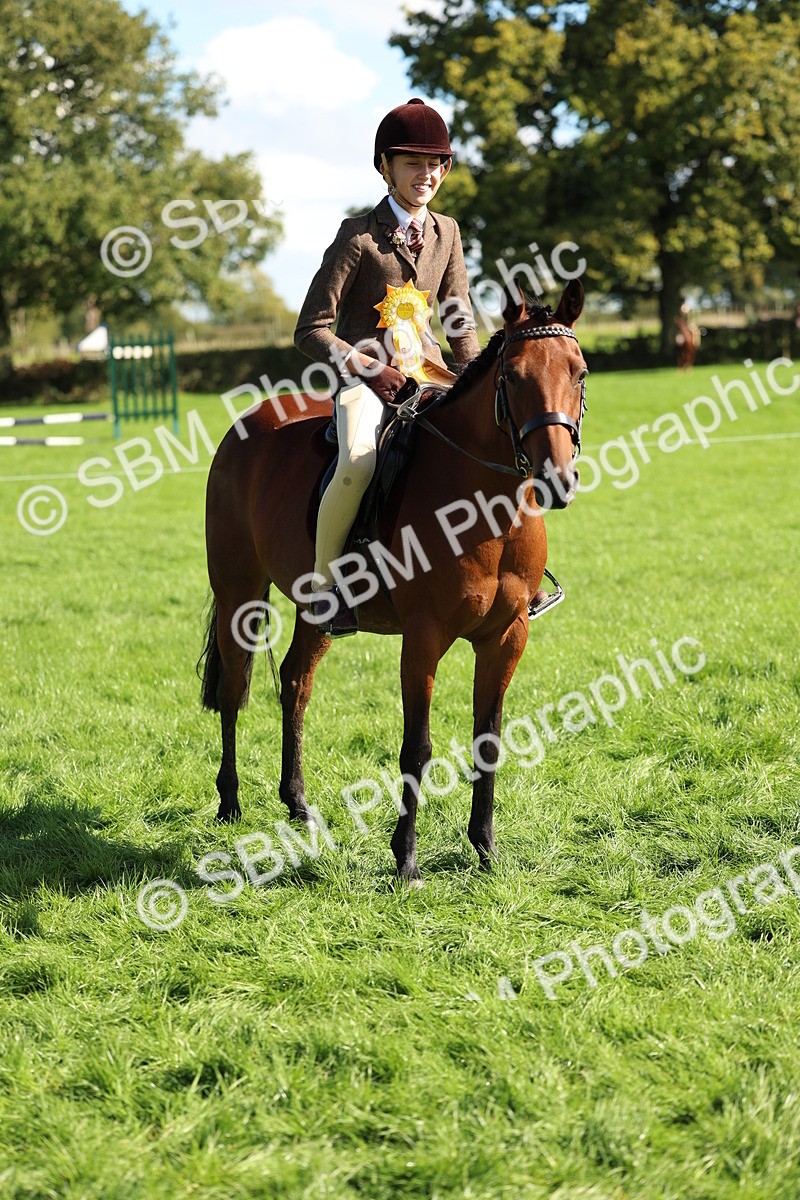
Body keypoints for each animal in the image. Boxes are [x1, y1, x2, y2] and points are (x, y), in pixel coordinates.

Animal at [199, 279, 587, 882]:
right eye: (513, 377)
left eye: (580, 372)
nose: (557, 479)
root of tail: (247, 425)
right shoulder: (423, 638)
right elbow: (417, 747)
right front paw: (405, 858)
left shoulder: (506, 636)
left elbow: (489, 740)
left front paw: (485, 849)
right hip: (239, 592)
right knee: (232, 688)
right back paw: (230, 801)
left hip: (314, 608)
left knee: (295, 682)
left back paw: (299, 805)